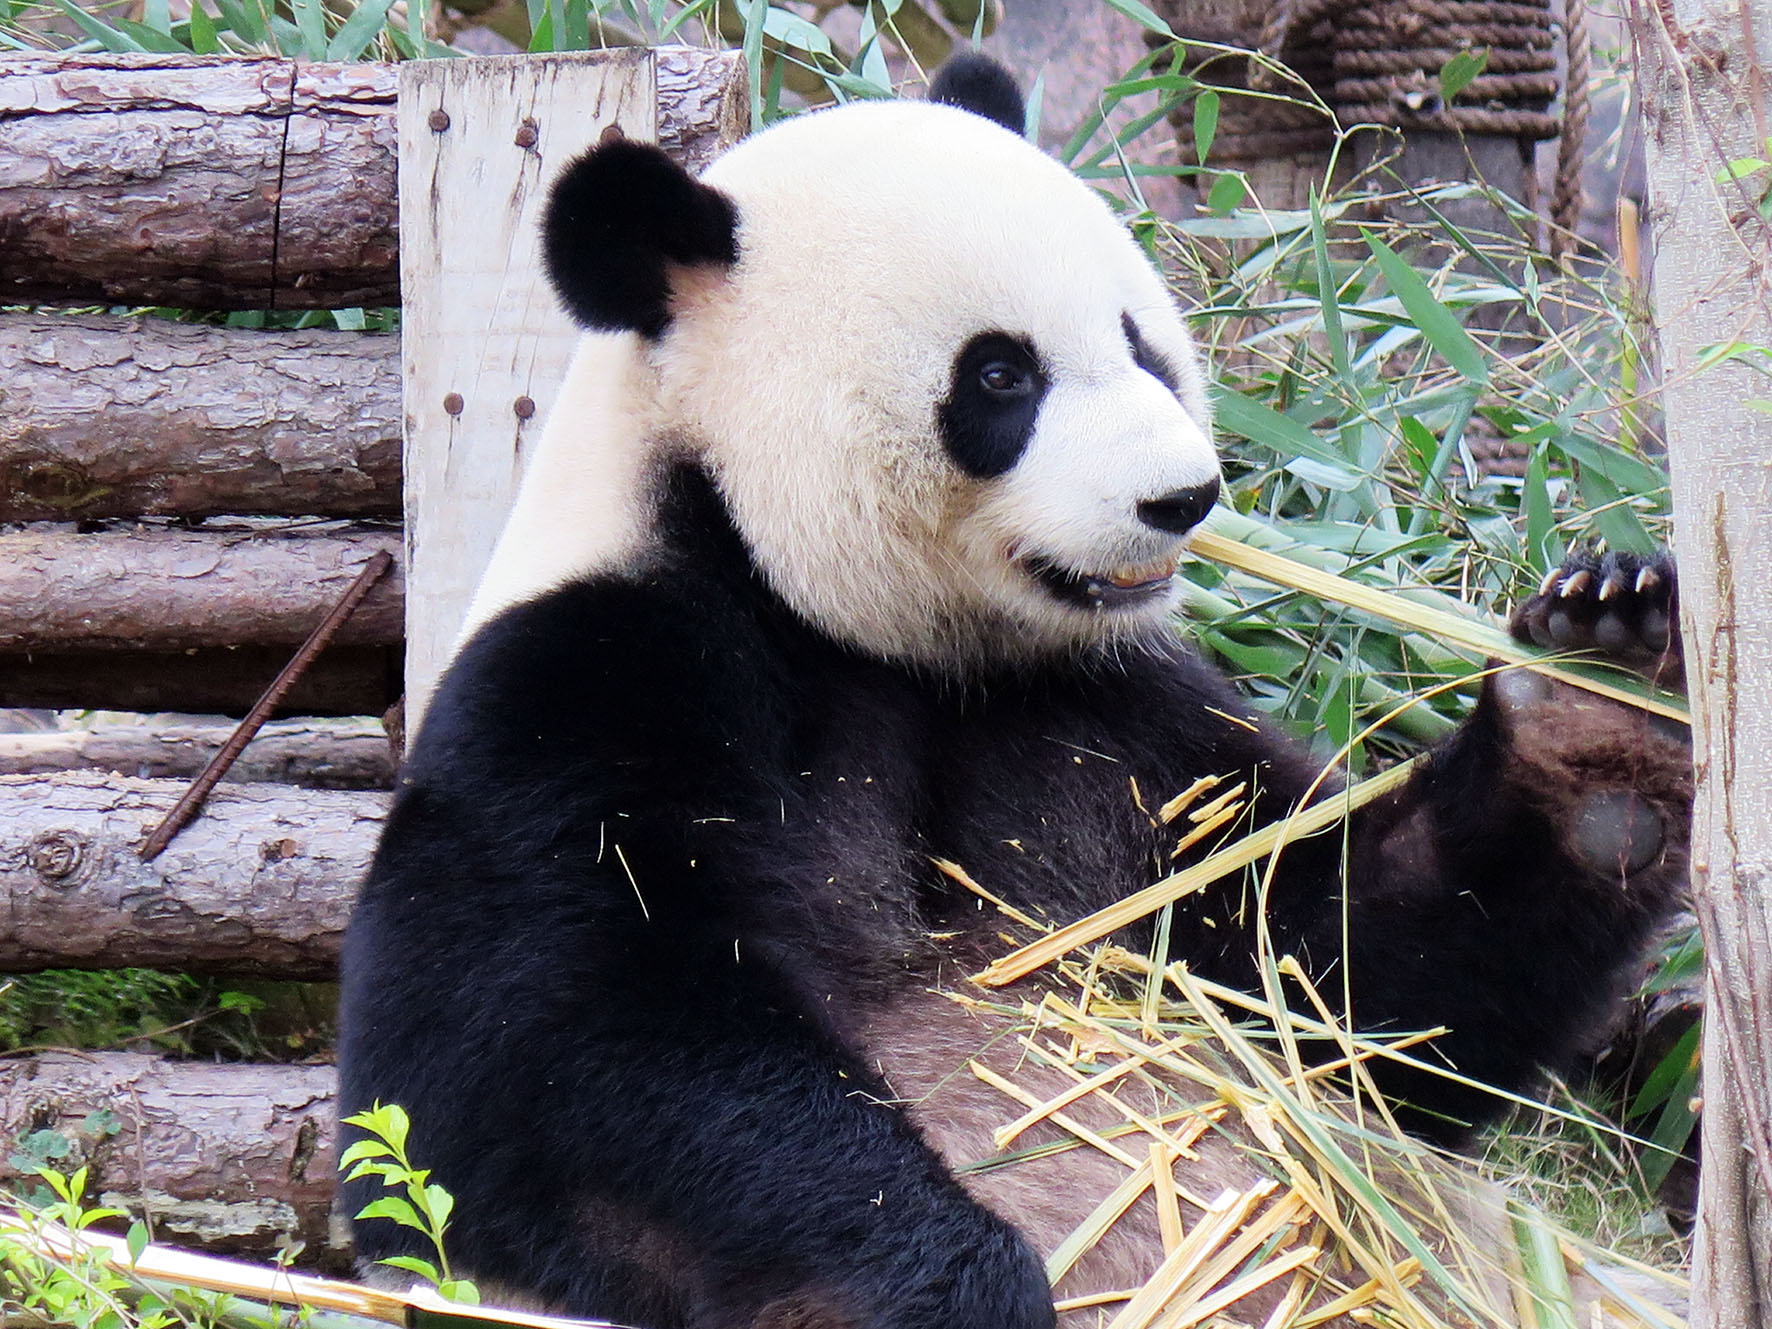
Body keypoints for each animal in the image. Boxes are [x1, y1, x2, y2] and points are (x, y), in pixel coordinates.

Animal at [341, 52, 1686, 1329]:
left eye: (1142, 343)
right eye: (998, 377)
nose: (1181, 497)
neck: (852, 626)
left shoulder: (1100, 718)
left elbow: (1327, 975)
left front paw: (1595, 717)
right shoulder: (590, 681)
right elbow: (521, 1061)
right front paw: (949, 1276)